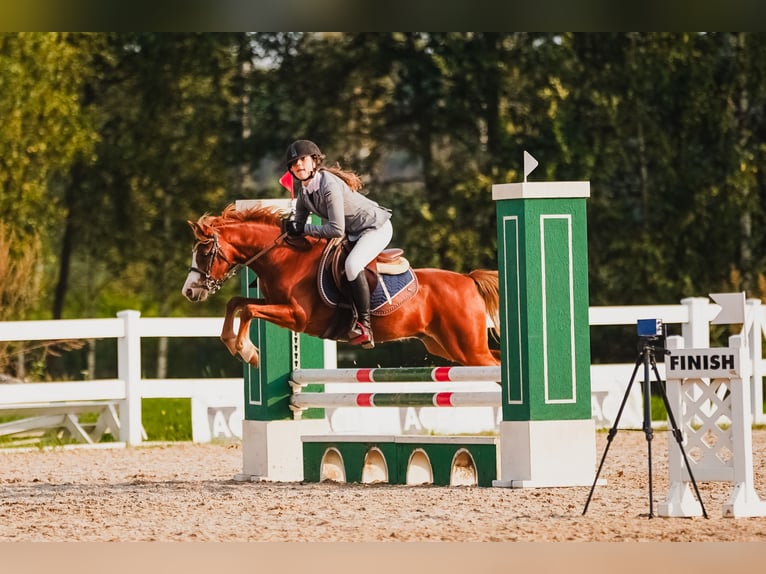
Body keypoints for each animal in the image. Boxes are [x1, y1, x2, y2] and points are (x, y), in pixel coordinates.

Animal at [182, 206, 504, 368]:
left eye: (204, 252)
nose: (189, 292)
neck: (285, 258)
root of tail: (468, 280)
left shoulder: (298, 317)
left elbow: (247, 309)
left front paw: (248, 352)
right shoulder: (276, 304)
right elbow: (236, 303)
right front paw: (234, 344)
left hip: (467, 349)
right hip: (446, 346)